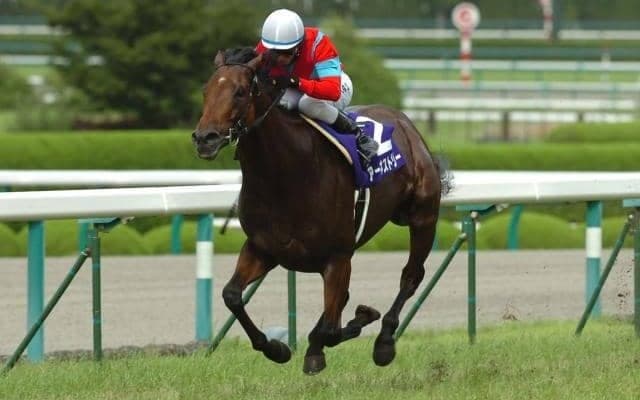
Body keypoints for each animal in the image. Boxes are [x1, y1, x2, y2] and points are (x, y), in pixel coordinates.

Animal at [192, 47, 449, 374]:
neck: (285, 175)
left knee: (411, 276)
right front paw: (277, 349)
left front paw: (329, 342)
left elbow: (330, 329)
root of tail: (405, 122)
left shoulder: (338, 257)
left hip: (423, 217)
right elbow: (232, 296)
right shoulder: (263, 248)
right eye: (206, 90)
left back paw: (384, 342)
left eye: (239, 92)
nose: (205, 138)